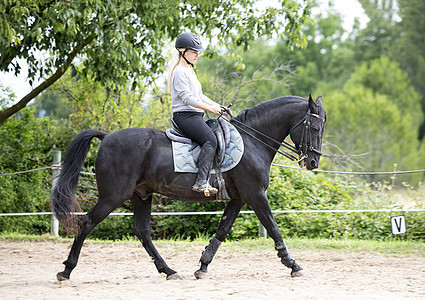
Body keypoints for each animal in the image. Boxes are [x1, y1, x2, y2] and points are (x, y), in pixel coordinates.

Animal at [51, 94, 326, 282]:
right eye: (314, 127)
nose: (313, 162)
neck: (252, 141)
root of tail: (106, 137)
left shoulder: (238, 198)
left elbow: (222, 230)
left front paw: (203, 266)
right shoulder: (255, 194)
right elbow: (273, 228)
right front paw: (293, 265)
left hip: (141, 195)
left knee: (142, 231)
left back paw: (168, 270)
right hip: (113, 196)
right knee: (86, 223)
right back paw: (66, 270)